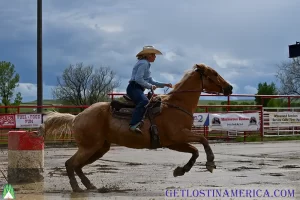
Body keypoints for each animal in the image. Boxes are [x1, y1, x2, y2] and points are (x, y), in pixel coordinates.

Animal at [38, 63, 233, 192]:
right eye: (214, 73)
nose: (229, 87)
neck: (177, 105)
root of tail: (77, 117)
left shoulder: (174, 142)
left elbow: (195, 150)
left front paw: (180, 170)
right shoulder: (178, 136)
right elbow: (203, 140)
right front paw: (210, 162)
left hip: (99, 148)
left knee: (77, 166)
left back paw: (89, 185)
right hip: (89, 147)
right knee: (70, 164)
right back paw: (77, 188)